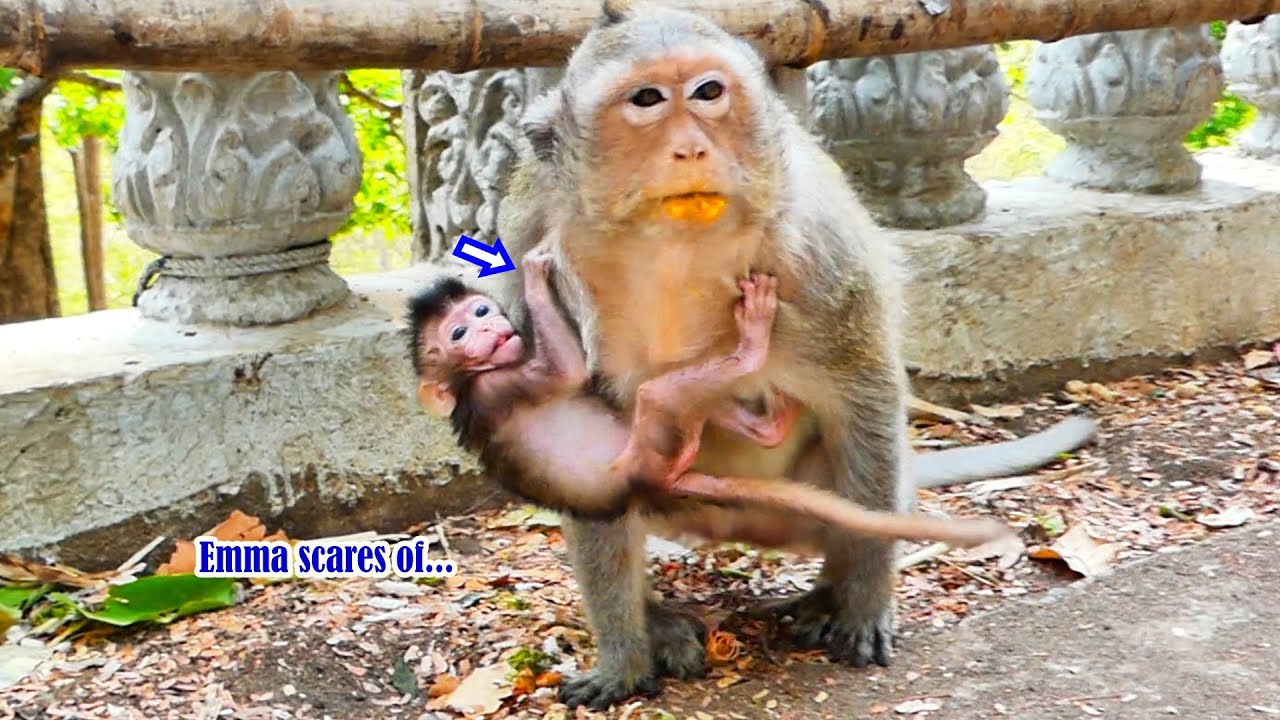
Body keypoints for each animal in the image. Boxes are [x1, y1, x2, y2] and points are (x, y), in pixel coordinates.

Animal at [408, 253, 1013, 549]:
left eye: (480, 312)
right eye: (458, 335)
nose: (492, 330)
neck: (472, 379)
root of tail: (650, 485)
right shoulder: (499, 388)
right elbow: (567, 372)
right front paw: (535, 276)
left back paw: (769, 420)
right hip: (647, 452)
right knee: (655, 394)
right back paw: (751, 350)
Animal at [479, 1, 1098, 708]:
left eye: (708, 92)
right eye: (647, 100)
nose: (692, 148)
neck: (668, 242)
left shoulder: (815, 243)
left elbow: (863, 387)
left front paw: (863, 604)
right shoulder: (531, 236)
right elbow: (566, 418)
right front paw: (625, 658)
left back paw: (830, 593)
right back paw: (658, 622)